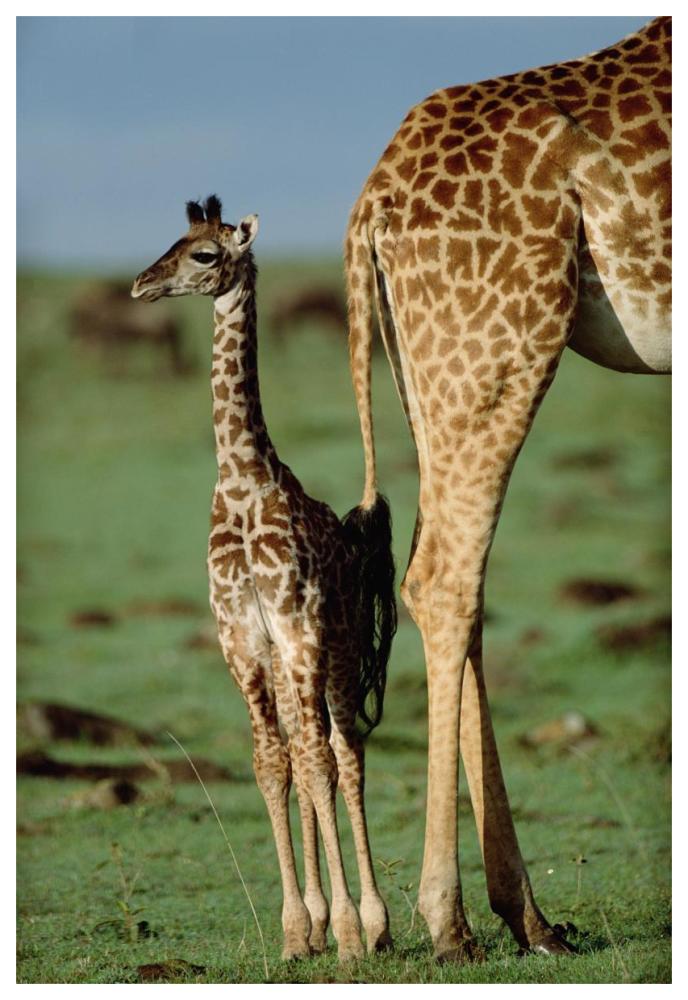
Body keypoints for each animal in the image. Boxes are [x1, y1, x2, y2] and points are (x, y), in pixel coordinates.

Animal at [131, 196, 396, 962]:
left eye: (204, 255)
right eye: (175, 240)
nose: (140, 285)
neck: (243, 482)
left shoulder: (299, 629)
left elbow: (316, 762)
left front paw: (347, 932)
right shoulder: (243, 640)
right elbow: (272, 765)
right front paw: (296, 931)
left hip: (337, 649)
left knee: (344, 751)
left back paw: (376, 924)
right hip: (287, 662)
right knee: (307, 756)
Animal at [345, 16, 671, 961]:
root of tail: (372, 203)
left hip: (432, 365)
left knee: (452, 576)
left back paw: (528, 916)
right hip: (501, 339)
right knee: (444, 576)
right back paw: (448, 920)